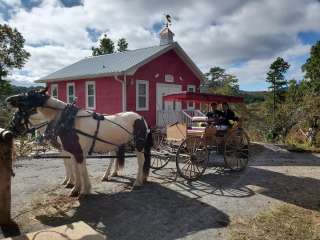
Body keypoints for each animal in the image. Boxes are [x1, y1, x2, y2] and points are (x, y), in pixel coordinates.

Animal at [6, 89, 152, 196]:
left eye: (28, 95)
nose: (8, 99)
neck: (68, 121)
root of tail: (141, 118)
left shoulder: (77, 152)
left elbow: (79, 169)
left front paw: (83, 189)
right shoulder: (71, 151)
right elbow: (75, 169)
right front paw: (75, 187)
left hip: (138, 145)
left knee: (141, 161)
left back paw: (138, 182)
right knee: (114, 157)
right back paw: (109, 175)